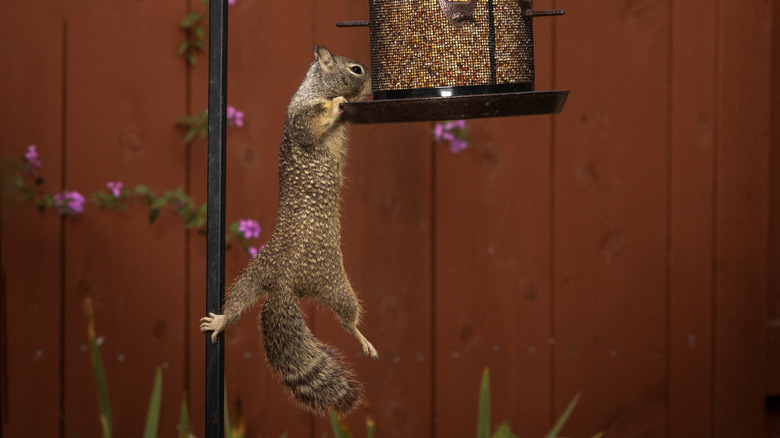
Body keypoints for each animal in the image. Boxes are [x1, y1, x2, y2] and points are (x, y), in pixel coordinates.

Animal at [199, 46, 375, 416]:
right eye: (355, 69)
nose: (370, 84)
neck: (313, 89)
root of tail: (284, 281)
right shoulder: (302, 118)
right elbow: (313, 123)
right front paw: (338, 103)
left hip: (253, 275)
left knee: (238, 302)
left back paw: (219, 321)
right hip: (335, 281)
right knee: (347, 319)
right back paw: (362, 338)